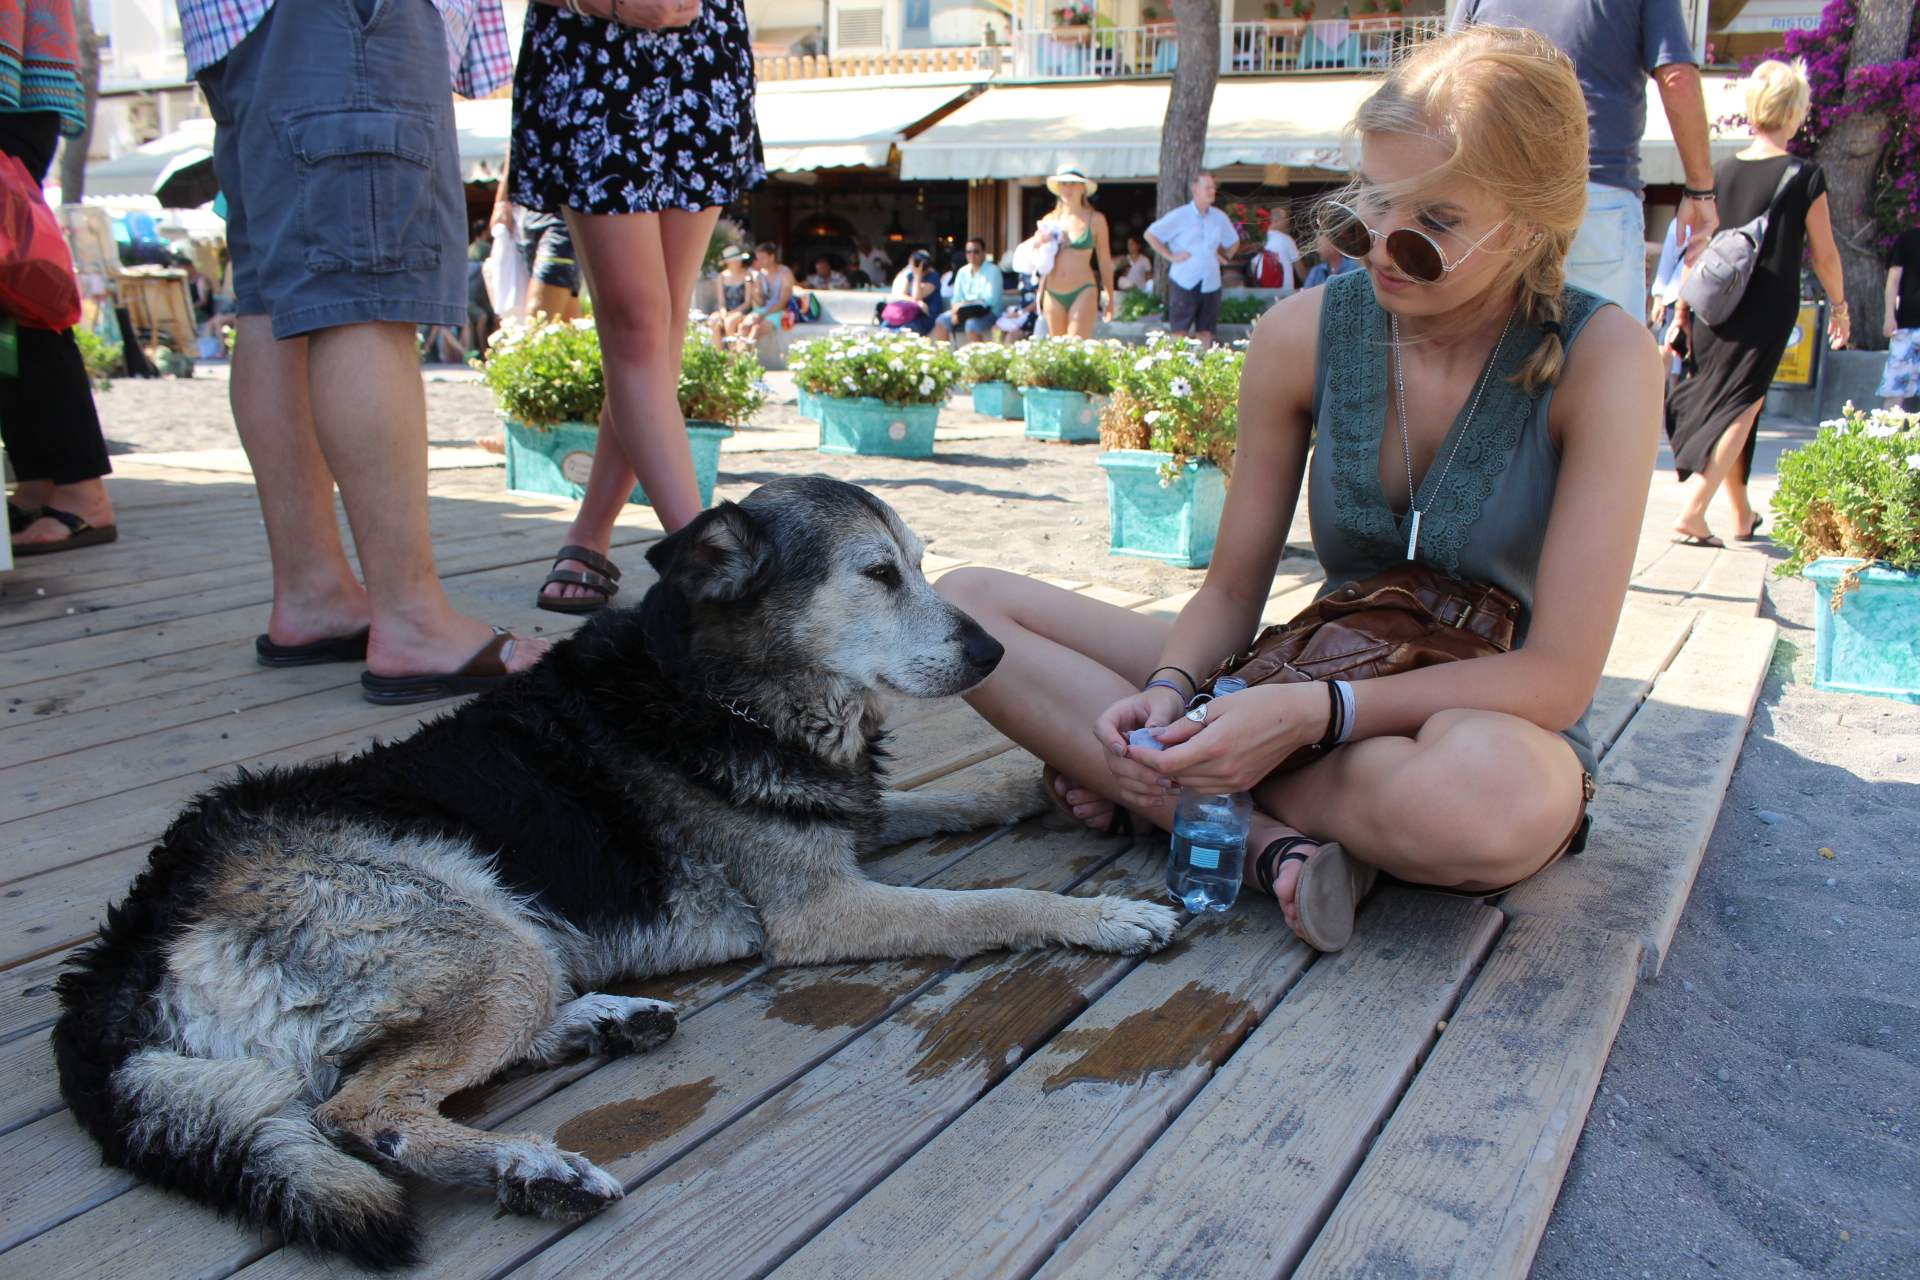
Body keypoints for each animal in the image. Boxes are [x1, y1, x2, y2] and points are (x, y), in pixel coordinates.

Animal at [52, 479, 1175, 1274]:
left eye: (922, 565)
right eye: (878, 575)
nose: (994, 653)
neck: (727, 691)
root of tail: (123, 946)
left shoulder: (843, 828)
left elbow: (952, 797)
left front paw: (1046, 786)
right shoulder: (822, 907)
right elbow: (992, 900)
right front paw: (1107, 912)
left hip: (505, 939)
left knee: (383, 1067)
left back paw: (602, 1022)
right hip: (480, 935)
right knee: (359, 1107)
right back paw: (532, 1165)